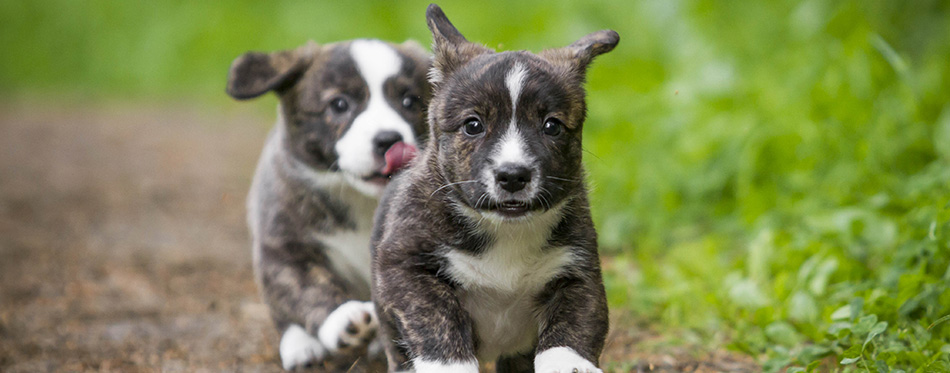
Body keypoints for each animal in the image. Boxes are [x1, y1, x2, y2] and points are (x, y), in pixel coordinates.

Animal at [372, 5, 624, 372]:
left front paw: (567, 363)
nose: (513, 175)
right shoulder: (405, 266)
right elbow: (437, 324)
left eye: (552, 126)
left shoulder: (579, 271)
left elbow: (572, 331)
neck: (505, 230)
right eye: (473, 125)